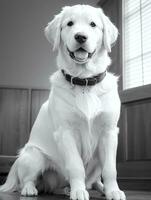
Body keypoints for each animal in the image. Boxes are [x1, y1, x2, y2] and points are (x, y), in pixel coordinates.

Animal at [0, 4, 126, 200]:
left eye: (93, 24)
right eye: (70, 23)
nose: (80, 36)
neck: (84, 80)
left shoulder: (109, 132)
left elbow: (110, 169)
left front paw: (113, 190)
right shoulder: (66, 132)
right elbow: (75, 166)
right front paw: (78, 190)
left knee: (94, 180)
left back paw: (97, 188)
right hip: (33, 155)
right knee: (27, 180)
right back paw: (31, 190)